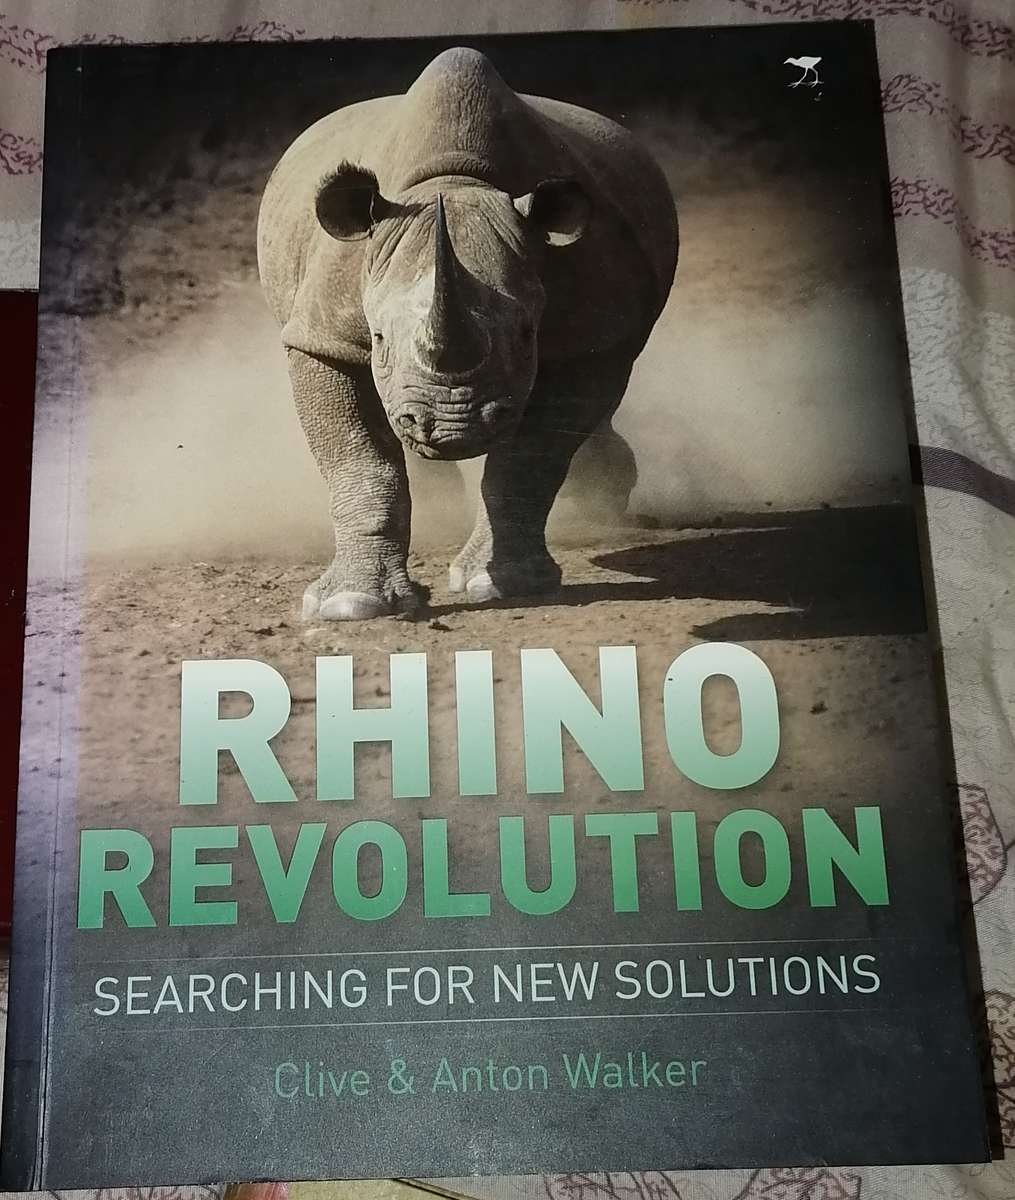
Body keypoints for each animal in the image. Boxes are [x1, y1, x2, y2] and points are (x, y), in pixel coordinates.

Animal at [257, 46, 677, 619]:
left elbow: (529, 460)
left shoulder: (589, 337)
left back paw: (598, 503)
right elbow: (360, 461)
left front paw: (504, 585)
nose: (454, 427)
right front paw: (351, 604)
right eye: (379, 339)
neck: (456, 182)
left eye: (527, 336)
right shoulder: (324, 335)